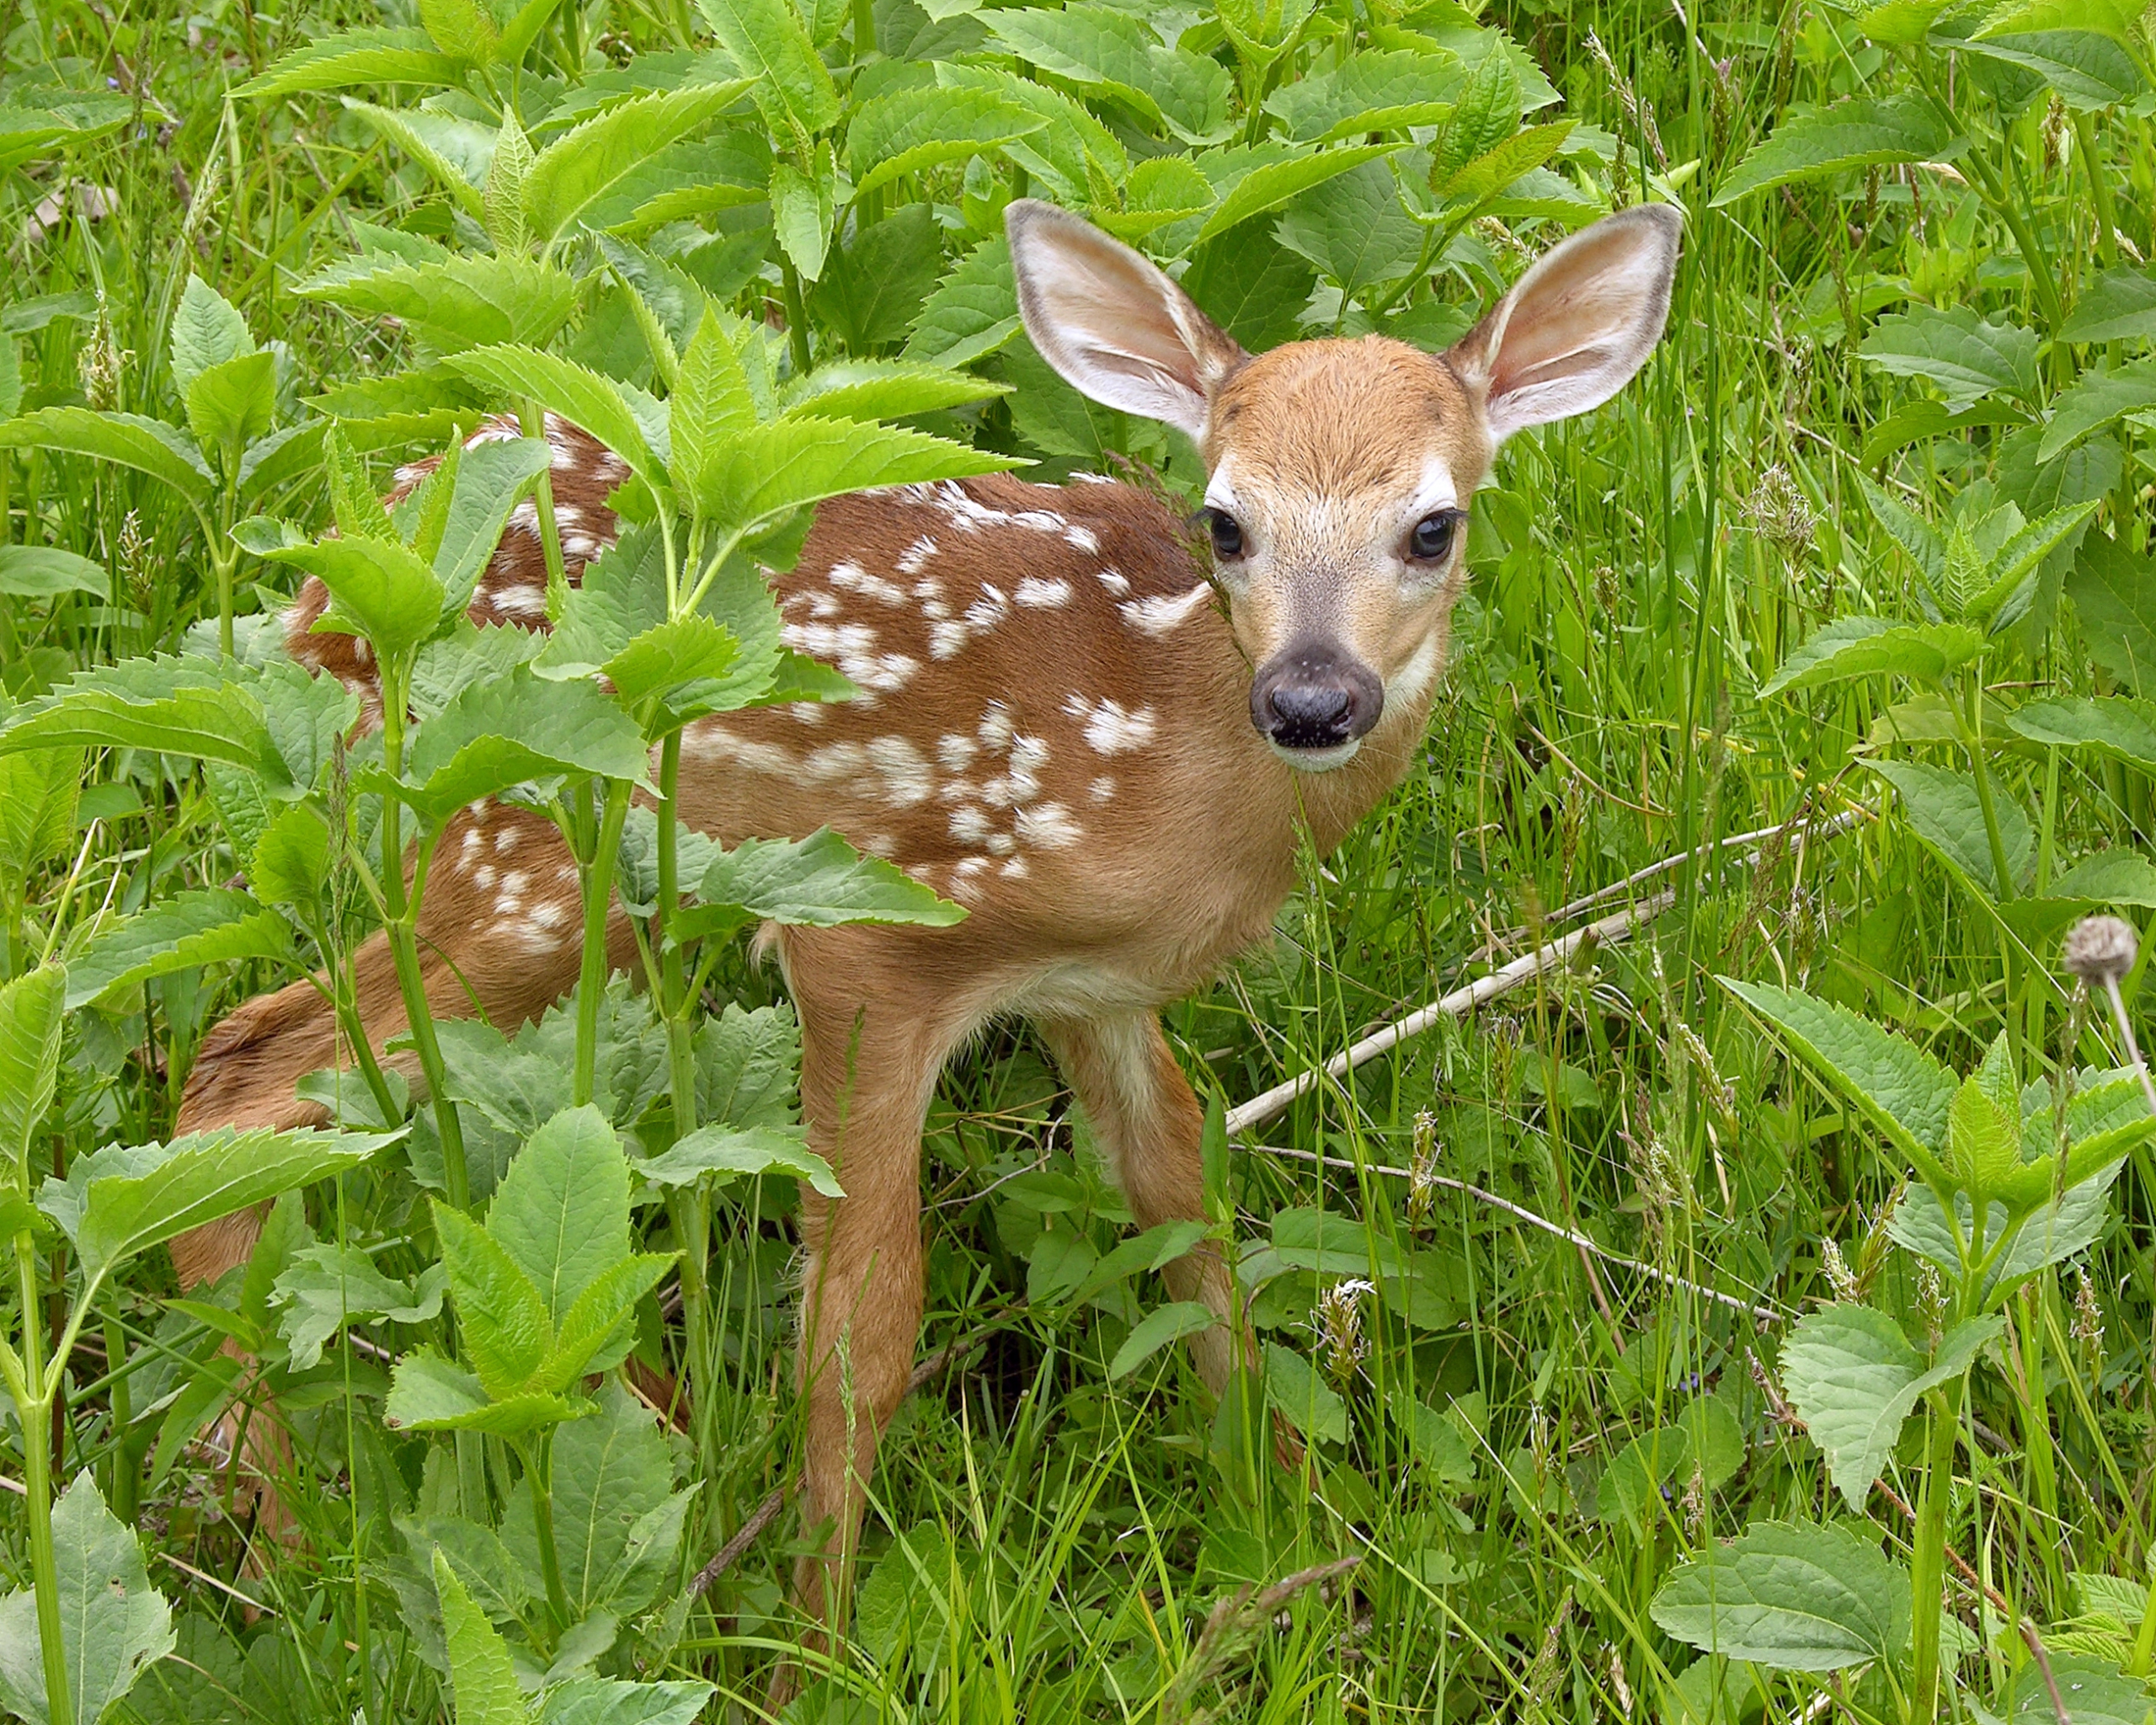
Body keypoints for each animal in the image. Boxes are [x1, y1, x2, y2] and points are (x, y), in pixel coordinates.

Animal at [165, 198, 1680, 1674]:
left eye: (1433, 527)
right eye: (1224, 523)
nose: (1312, 699)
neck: (1173, 771)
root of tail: (330, 590)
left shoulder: (1099, 992)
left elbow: (1192, 1230)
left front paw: (1302, 1539)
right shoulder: (877, 946)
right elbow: (860, 1336)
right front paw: (812, 1651)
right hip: (518, 845)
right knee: (243, 1065)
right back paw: (276, 1540)